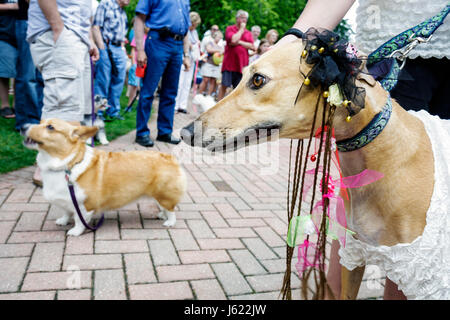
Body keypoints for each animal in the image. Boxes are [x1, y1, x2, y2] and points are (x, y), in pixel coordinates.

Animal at [23, 119, 185, 236]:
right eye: (40, 121)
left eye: (50, 127)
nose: (23, 127)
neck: (68, 164)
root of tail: (170, 157)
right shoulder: (66, 200)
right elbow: (66, 212)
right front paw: (62, 221)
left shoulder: (84, 205)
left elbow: (79, 219)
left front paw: (75, 231)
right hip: (158, 194)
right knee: (164, 207)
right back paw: (161, 215)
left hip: (164, 193)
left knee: (171, 210)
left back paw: (169, 222)